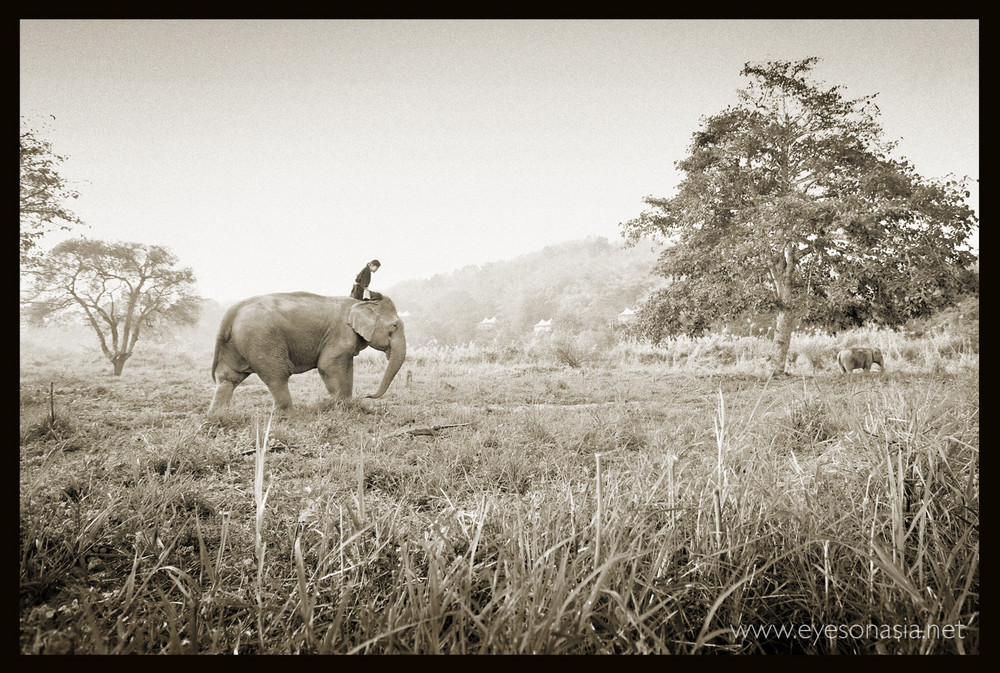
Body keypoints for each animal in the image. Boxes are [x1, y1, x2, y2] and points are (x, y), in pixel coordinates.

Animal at [207, 292, 406, 412]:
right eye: (394, 326)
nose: (368, 395)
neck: (360, 303)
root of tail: (231, 312)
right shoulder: (340, 333)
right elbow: (327, 365)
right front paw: (341, 406)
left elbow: (346, 367)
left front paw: (347, 404)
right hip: (262, 339)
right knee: (277, 375)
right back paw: (288, 414)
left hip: (236, 342)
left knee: (228, 377)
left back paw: (218, 415)